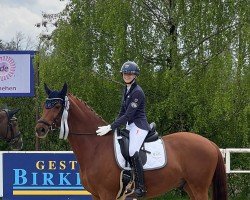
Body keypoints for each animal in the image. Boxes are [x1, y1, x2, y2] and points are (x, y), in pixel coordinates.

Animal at [35, 83, 229, 199]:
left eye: (57, 106)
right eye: (45, 105)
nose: (40, 129)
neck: (96, 146)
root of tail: (210, 144)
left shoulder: (107, 194)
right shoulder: (96, 195)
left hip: (199, 187)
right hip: (188, 186)